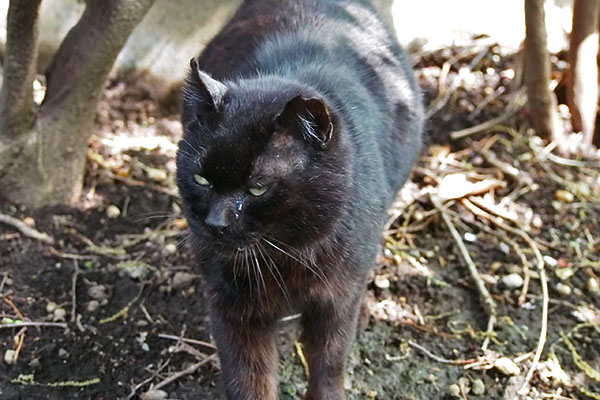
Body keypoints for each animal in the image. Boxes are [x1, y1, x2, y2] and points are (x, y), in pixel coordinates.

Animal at [176, 1, 424, 398]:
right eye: (201, 178)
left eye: (257, 187)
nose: (216, 222)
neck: (283, 256)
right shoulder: (232, 306)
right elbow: (248, 377)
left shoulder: (337, 298)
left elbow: (329, 360)